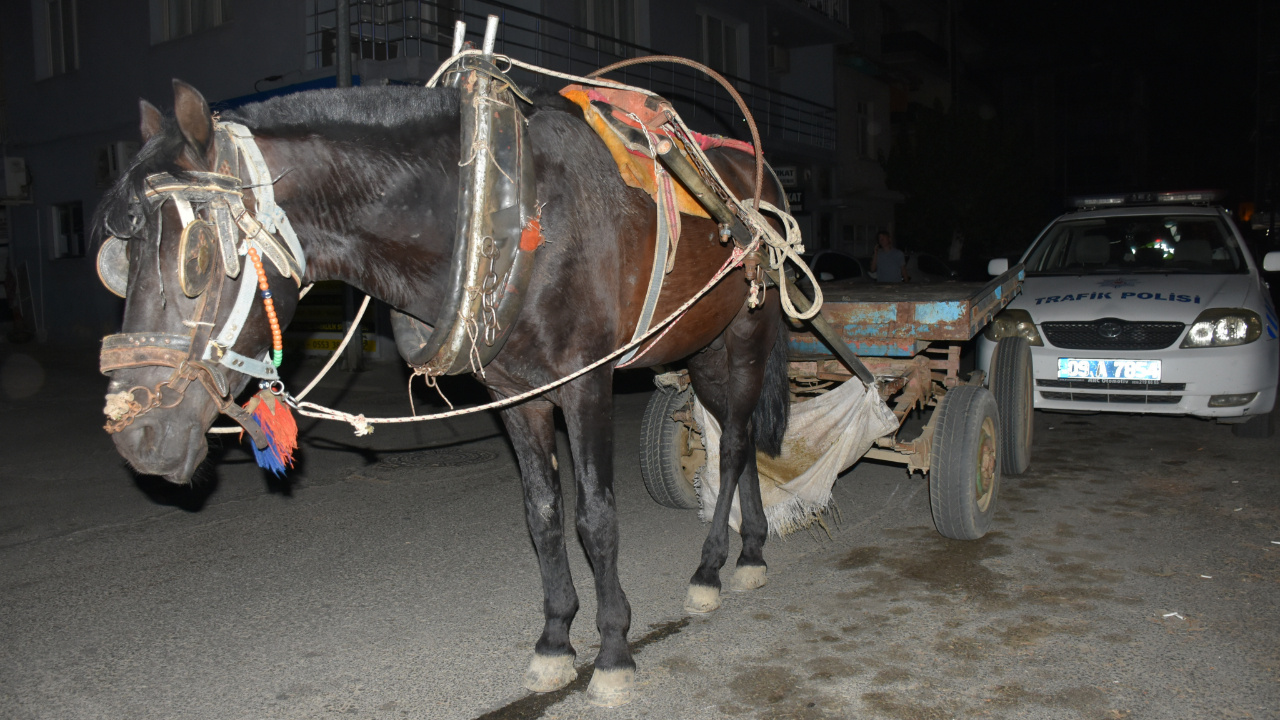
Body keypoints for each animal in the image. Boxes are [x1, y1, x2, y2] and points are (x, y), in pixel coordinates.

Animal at [94, 75, 788, 702]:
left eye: (196, 259)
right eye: (116, 264)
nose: (138, 436)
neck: (505, 210)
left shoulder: (587, 383)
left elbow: (595, 518)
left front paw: (614, 649)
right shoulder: (518, 395)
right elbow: (542, 516)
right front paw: (555, 640)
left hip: (747, 333)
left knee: (733, 444)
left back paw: (716, 566)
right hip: (702, 346)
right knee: (738, 433)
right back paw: (750, 547)